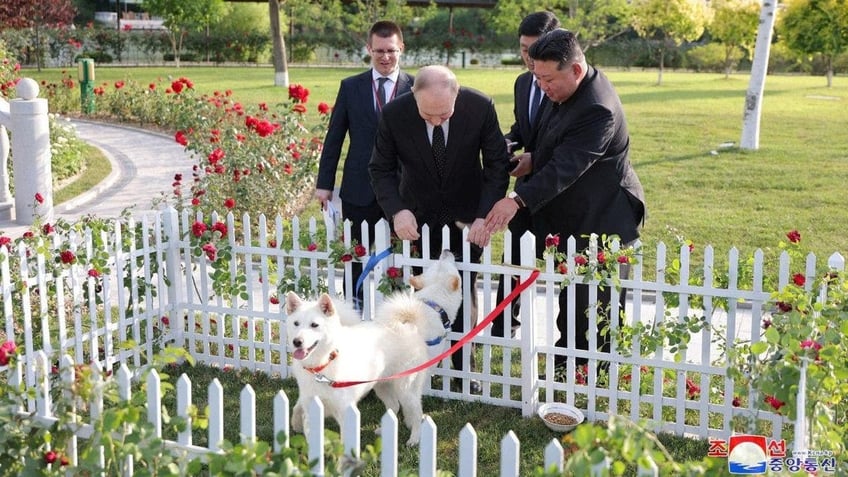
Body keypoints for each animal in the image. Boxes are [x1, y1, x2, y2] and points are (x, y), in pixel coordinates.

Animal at [288, 251, 464, 444]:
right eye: (296, 324)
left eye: (314, 325)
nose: (446, 251)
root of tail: (408, 325)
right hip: (388, 386)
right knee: (399, 406)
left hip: (398, 386)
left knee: (410, 410)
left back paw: (411, 437)